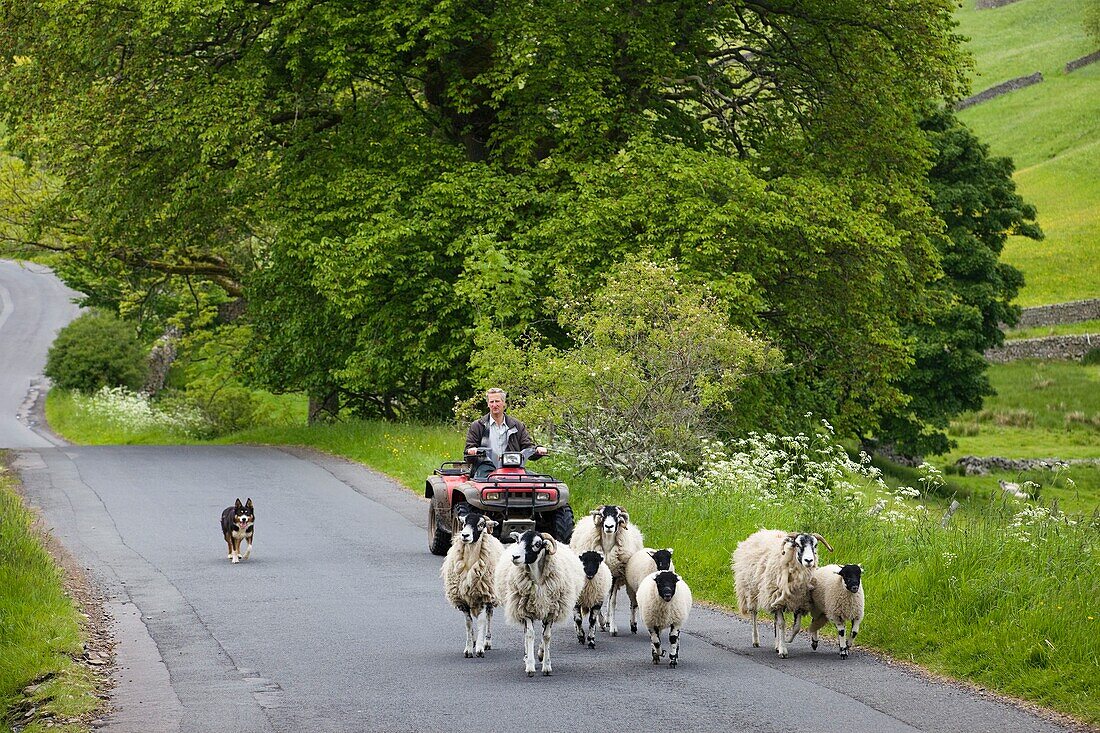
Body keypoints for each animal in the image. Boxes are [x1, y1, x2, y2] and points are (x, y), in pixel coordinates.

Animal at [440, 508, 503, 655]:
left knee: (489, 617)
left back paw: (487, 641)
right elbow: (468, 624)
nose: (465, 535)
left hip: (491, 595)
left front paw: (479, 649)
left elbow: (481, 622)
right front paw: (468, 649)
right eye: (464, 523)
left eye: (481, 524)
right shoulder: (462, 601)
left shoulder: (484, 596)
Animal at [497, 526, 589, 673]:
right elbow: (529, 634)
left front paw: (546, 665)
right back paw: (527, 656)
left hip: (543, 607)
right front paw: (530, 665)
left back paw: (540, 653)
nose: (515, 557)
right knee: (527, 633)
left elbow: (546, 636)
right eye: (518, 541)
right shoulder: (525, 609)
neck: (537, 578)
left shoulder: (551, 610)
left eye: (537, 544)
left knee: (542, 632)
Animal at [567, 501, 642, 633]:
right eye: (602, 515)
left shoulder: (614, 575)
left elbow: (612, 601)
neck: (607, 549)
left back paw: (607, 621)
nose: (609, 526)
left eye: (618, 515)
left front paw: (612, 626)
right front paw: (600, 621)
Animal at [734, 526, 827, 655]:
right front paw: (783, 650)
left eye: (815, 545)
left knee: (775, 621)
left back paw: (776, 645)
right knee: (754, 613)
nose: (809, 560)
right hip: (751, 590)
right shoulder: (776, 598)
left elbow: (796, 627)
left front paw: (787, 640)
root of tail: (761, 532)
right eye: (797, 544)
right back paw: (756, 640)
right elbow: (782, 624)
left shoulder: (799, 601)